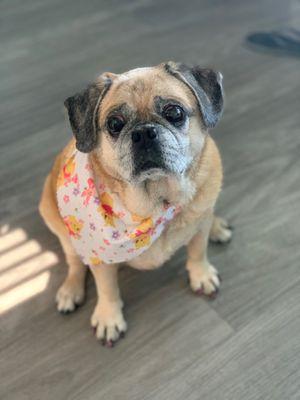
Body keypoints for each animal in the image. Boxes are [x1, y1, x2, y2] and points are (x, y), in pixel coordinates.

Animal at [39, 61, 232, 346]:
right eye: (114, 124)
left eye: (174, 112)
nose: (143, 132)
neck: (157, 202)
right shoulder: (101, 260)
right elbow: (107, 288)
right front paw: (109, 317)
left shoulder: (198, 228)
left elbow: (198, 252)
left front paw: (201, 275)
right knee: (74, 260)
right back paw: (70, 291)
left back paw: (217, 226)